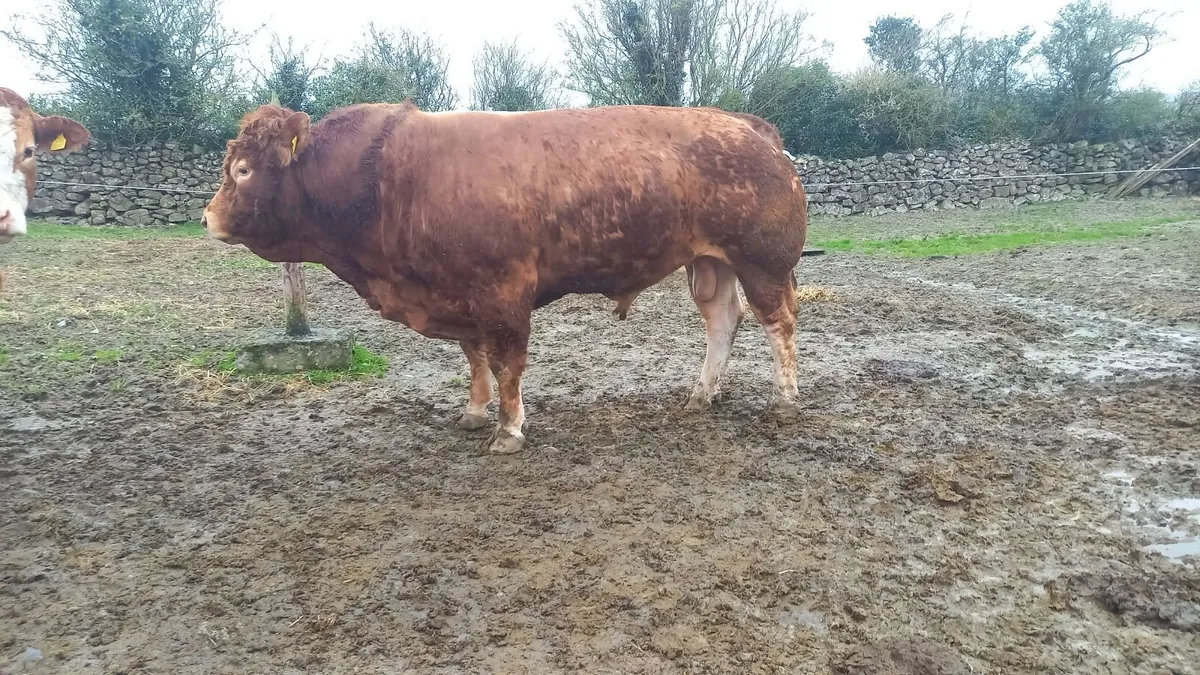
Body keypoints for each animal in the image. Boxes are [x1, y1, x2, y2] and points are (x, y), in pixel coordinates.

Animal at [202, 101, 809, 454]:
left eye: (243, 170)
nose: (208, 216)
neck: (388, 178)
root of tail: (749, 126)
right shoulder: (458, 293)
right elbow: (475, 358)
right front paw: (475, 412)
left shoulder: (502, 291)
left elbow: (506, 361)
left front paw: (509, 429)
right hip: (710, 263)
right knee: (722, 321)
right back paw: (701, 395)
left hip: (763, 263)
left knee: (778, 324)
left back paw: (784, 399)